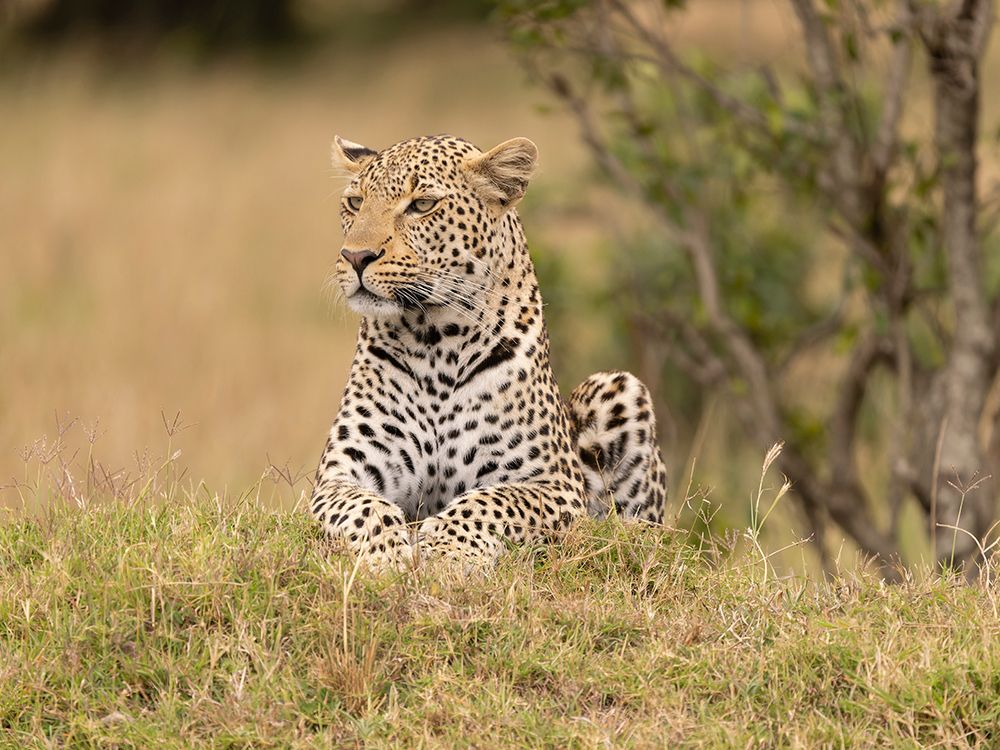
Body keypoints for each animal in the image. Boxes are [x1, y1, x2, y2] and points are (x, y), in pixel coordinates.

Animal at [310, 133, 668, 569]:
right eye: (355, 202)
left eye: (422, 205)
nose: (356, 257)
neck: (434, 340)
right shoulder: (341, 474)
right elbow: (365, 508)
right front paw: (386, 556)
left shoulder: (552, 484)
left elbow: (487, 502)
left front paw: (446, 554)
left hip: (618, 387)